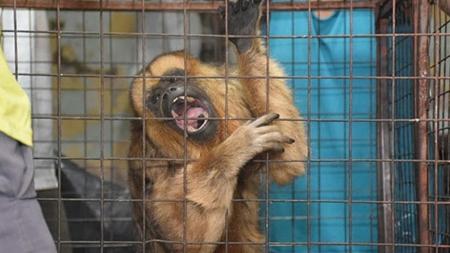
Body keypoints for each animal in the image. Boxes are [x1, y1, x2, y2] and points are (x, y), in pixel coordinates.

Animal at [128, 0, 308, 252]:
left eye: (172, 80)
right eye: (154, 99)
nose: (167, 93)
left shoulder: (234, 94)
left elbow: (290, 158)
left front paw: (243, 37)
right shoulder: (149, 160)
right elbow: (186, 239)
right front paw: (236, 148)